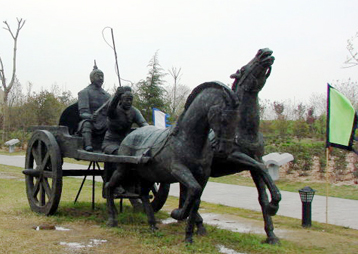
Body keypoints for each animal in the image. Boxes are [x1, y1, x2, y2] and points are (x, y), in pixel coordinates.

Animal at [106, 82, 241, 243]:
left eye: (237, 119)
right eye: (223, 118)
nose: (225, 151)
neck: (188, 140)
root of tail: (130, 134)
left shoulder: (203, 175)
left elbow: (196, 200)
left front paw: (188, 237)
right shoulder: (178, 170)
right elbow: (194, 191)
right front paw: (177, 213)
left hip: (147, 175)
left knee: (143, 195)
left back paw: (152, 225)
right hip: (124, 169)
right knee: (109, 186)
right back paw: (112, 219)